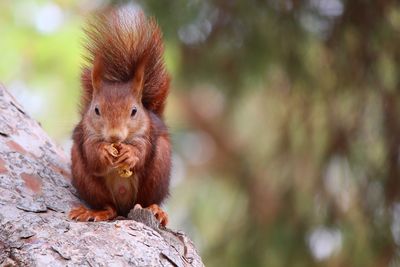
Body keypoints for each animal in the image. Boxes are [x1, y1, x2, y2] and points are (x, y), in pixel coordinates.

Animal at [68, 7, 170, 227]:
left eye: (134, 111)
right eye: (96, 110)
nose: (114, 137)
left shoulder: (146, 132)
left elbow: (142, 150)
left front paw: (130, 154)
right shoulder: (87, 134)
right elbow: (91, 152)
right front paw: (104, 152)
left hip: (158, 170)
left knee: (146, 199)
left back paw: (155, 209)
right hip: (87, 180)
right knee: (109, 207)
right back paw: (96, 212)